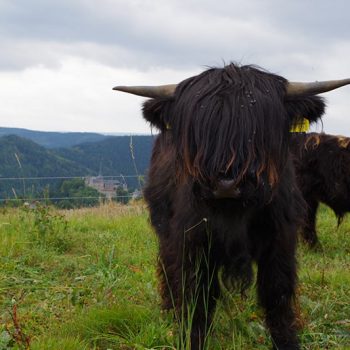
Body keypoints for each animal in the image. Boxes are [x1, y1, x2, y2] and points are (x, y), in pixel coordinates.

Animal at [113, 63, 348, 350]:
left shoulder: (280, 240)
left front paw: (287, 342)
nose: (226, 183)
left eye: (259, 128)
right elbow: (196, 300)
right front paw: (190, 339)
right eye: (198, 130)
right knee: (168, 269)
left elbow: (277, 295)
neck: (234, 213)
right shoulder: (192, 245)